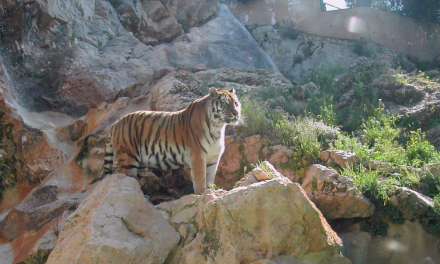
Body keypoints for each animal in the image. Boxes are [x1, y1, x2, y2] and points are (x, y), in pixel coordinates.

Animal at [103, 87, 241, 194]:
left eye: (236, 103)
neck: (218, 127)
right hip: (128, 159)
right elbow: (200, 177)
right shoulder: (198, 155)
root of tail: (115, 124)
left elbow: (210, 177)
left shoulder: (213, 158)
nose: (236, 113)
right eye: (225, 104)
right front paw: (202, 193)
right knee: (127, 181)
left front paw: (211, 190)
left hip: (141, 164)